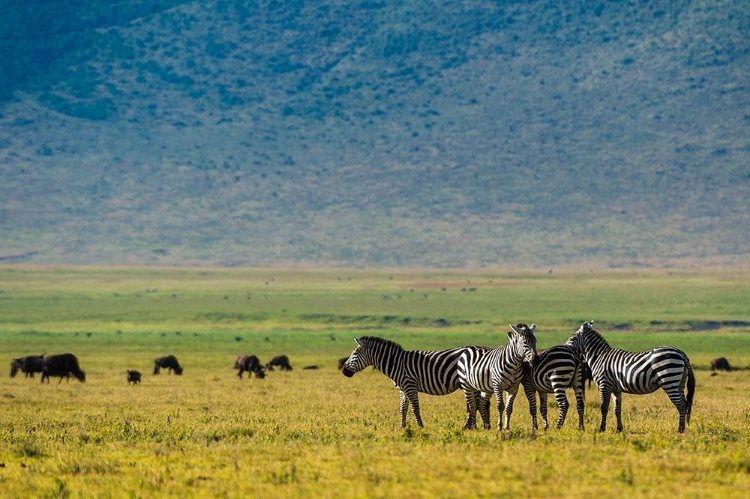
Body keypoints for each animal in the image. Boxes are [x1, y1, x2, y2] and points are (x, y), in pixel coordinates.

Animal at [340, 336, 494, 430]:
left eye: (354, 354)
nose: (343, 371)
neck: (396, 363)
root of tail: (484, 348)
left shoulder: (410, 385)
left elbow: (415, 408)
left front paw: (420, 426)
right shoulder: (403, 388)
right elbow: (403, 408)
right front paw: (401, 427)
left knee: (477, 404)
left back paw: (471, 426)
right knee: (479, 404)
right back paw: (478, 426)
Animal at [568, 320, 700, 434]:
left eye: (572, 338)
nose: (564, 347)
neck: (599, 357)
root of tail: (681, 353)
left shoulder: (604, 384)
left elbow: (603, 407)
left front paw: (601, 429)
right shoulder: (615, 389)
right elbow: (617, 409)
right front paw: (619, 429)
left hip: (670, 380)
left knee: (681, 404)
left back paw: (680, 429)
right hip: (679, 383)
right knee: (685, 403)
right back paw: (682, 428)